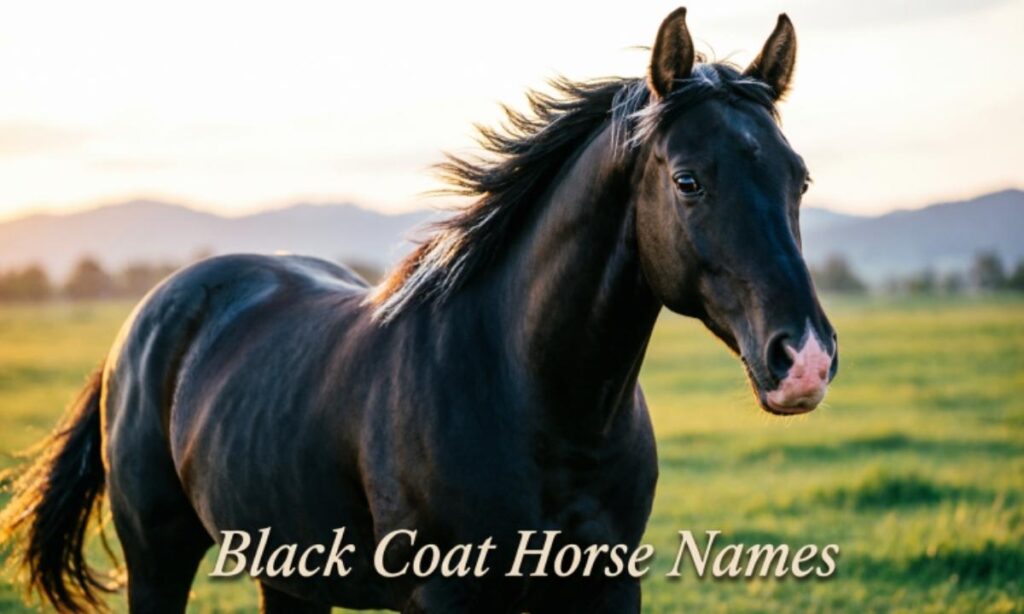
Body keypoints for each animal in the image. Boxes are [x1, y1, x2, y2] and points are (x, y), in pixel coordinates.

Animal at [0, 8, 837, 613]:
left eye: (799, 178)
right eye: (689, 180)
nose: (804, 361)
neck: (526, 393)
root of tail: (147, 321)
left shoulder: (606, 585)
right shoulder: (444, 594)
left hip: (286, 573)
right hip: (158, 560)